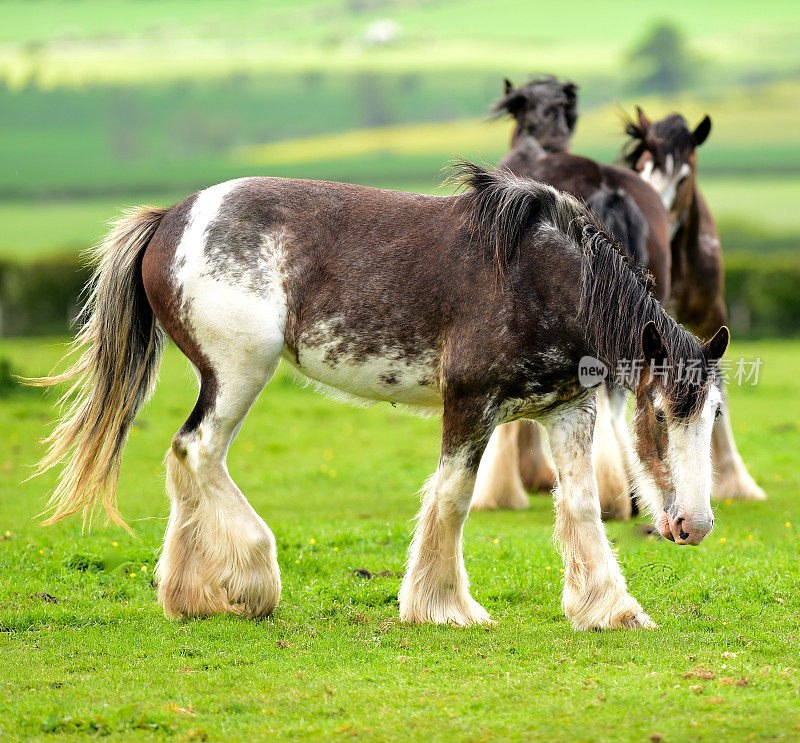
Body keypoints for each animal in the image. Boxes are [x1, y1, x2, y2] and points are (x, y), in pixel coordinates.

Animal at [34, 164, 728, 632]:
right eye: (660, 414)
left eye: (713, 416)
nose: (693, 527)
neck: (544, 279)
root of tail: (168, 221)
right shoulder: (469, 402)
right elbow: (452, 498)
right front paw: (442, 607)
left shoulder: (567, 409)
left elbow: (581, 505)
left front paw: (609, 608)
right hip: (237, 373)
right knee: (197, 452)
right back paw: (249, 584)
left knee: (188, 460)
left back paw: (189, 596)